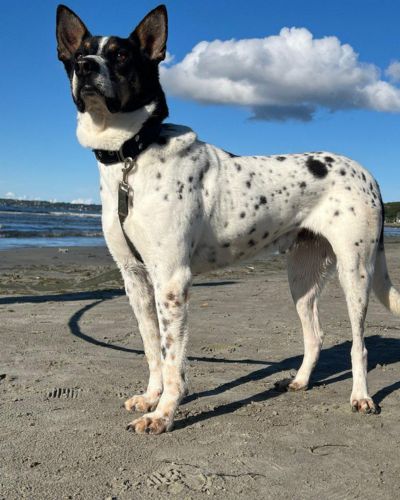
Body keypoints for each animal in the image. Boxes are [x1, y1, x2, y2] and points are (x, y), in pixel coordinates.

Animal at [56, 4, 400, 434]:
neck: (132, 155)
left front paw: (164, 414)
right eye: (77, 54)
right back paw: (300, 381)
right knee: (316, 335)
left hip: (355, 271)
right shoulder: (134, 279)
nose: (85, 66)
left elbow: (173, 360)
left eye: (121, 56)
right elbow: (152, 349)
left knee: (359, 345)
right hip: (301, 276)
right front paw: (151, 397)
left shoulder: (171, 281)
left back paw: (361, 396)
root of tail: (368, 174)